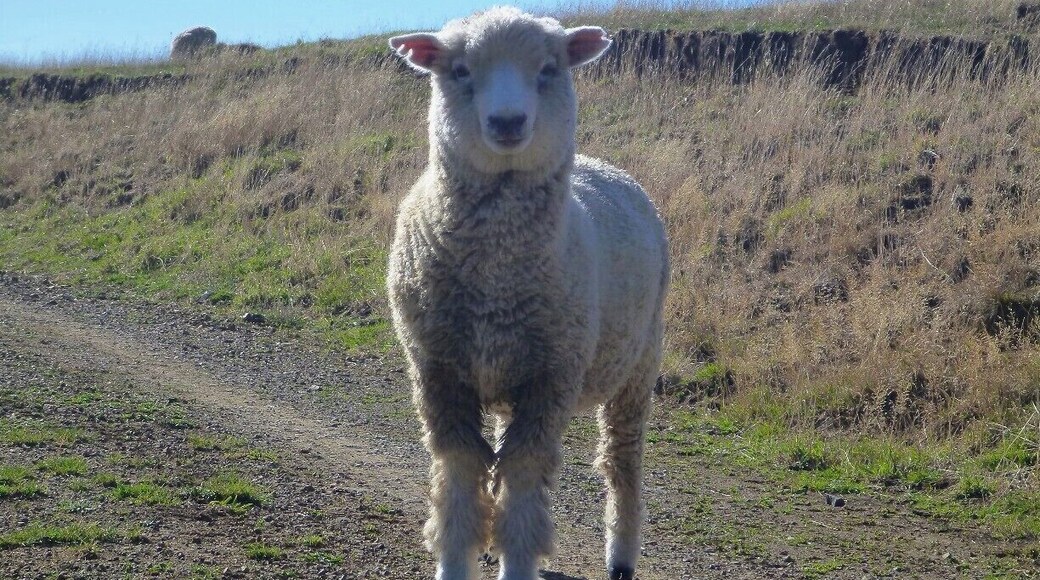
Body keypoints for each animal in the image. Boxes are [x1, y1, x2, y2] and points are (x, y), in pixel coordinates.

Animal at [386, 7, 668, 580]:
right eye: (460, 71)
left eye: (548, 69)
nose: (508, 122)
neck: (497, 273)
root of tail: (604, 164)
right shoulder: (438, 372)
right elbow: (461, 470)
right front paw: (457, 557)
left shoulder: (551, 379)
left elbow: (522, 474)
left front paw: (516, 560)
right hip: (502, 363)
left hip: (638, 366)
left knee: (622, 461)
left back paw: (621, 554)